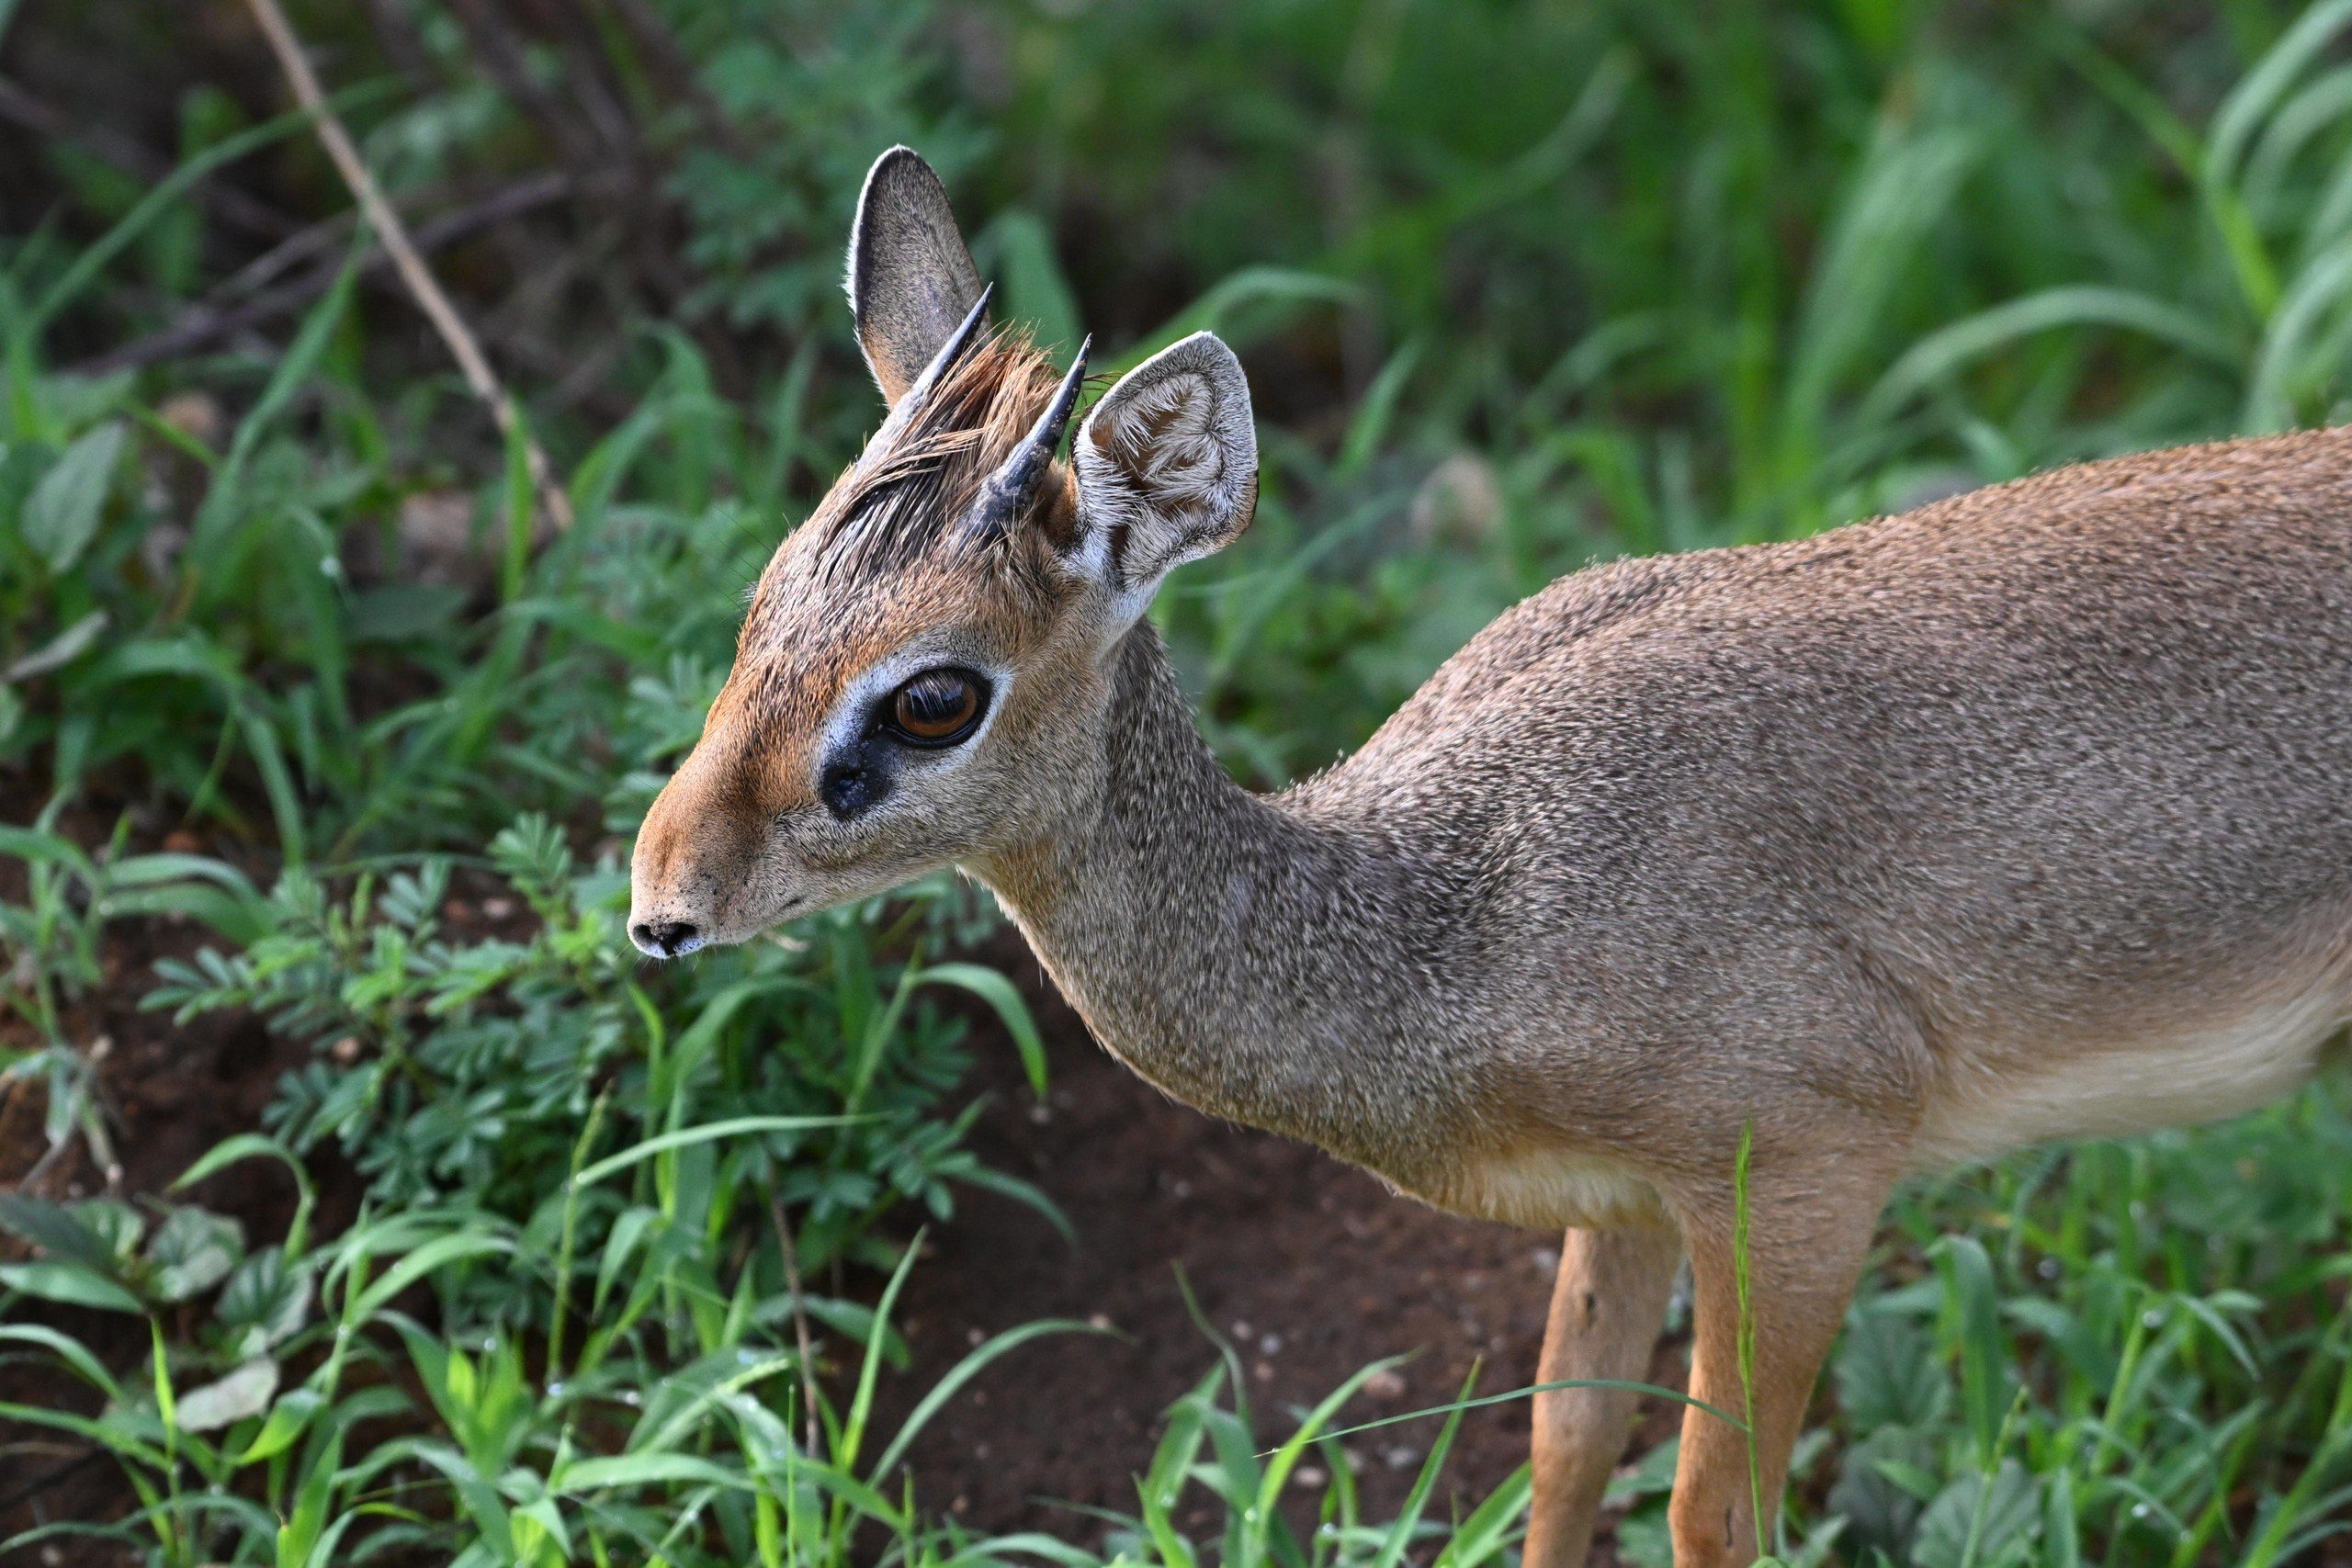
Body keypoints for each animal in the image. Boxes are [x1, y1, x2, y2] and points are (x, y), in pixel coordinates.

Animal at [629, 147, 2352, 1567]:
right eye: (769, 597)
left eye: (934, 692)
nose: (662, 907)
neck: (1460, 908)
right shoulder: (1630, 1202)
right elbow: (1564, 1438)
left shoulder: (1803, 1174)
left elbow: (1713, 1506)